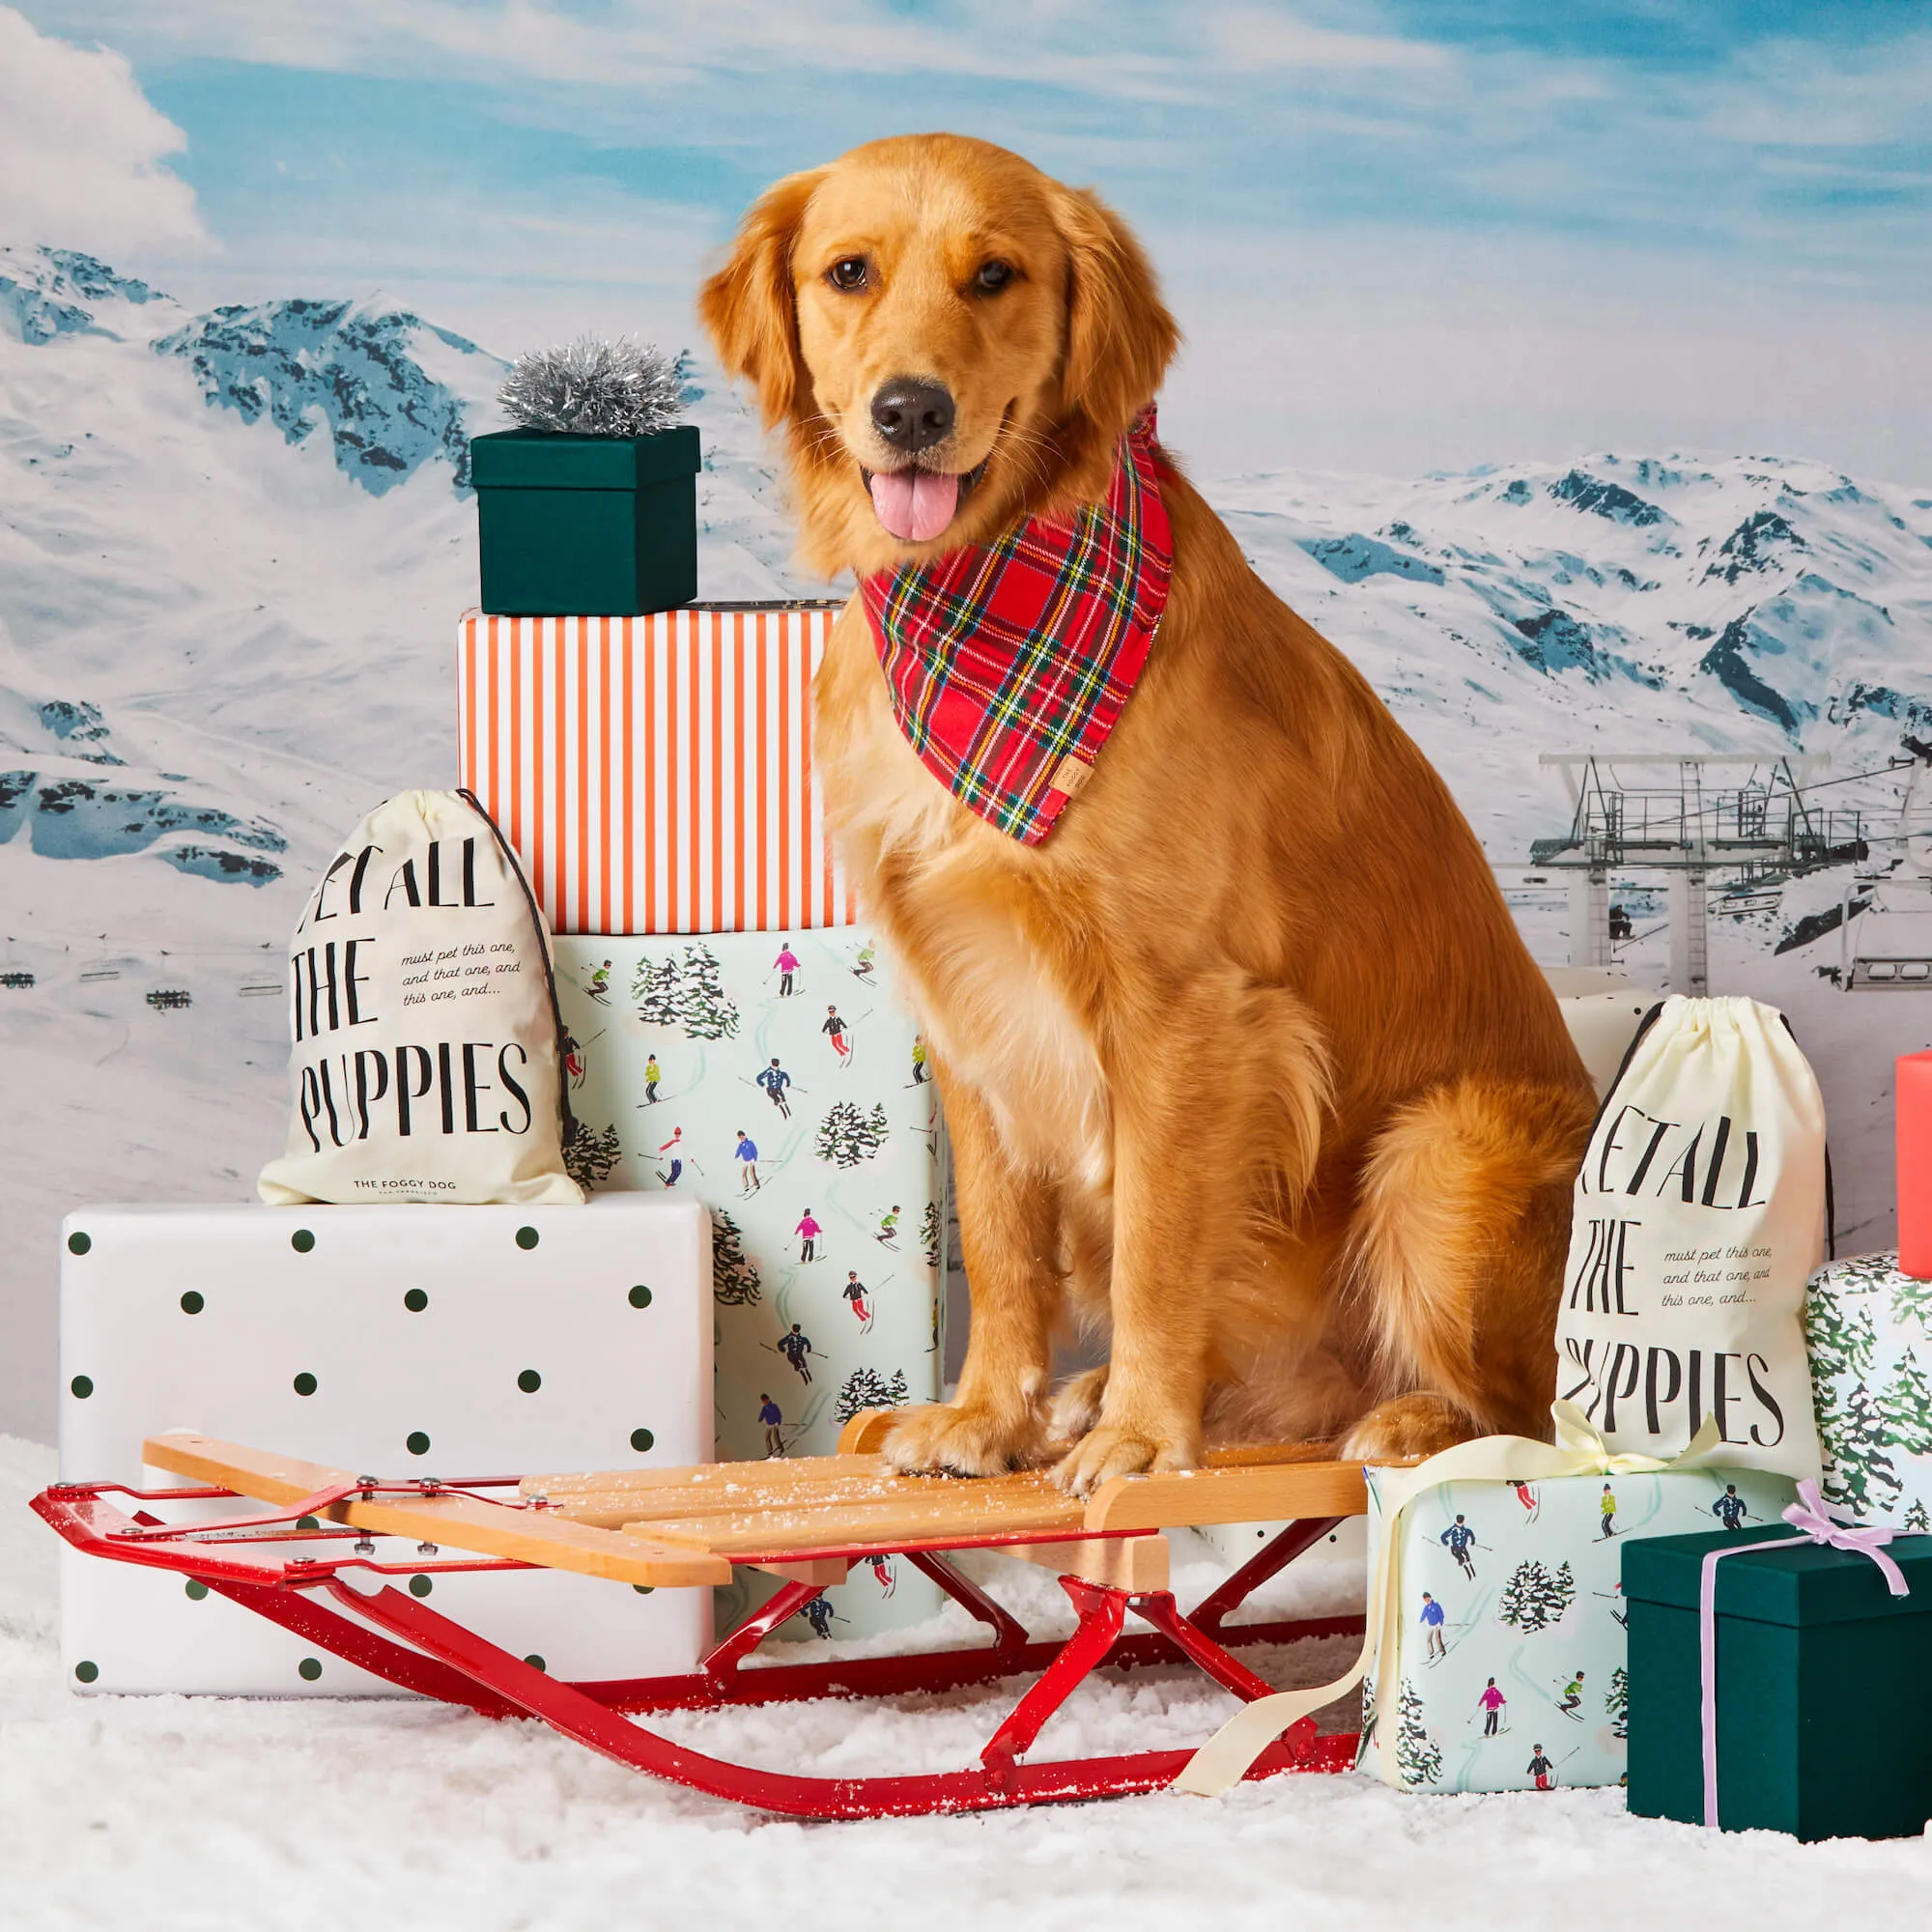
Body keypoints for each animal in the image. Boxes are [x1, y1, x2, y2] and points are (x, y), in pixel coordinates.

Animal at [703, 136, 1592, 1492]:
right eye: (848, 272)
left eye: (995, 275)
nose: (911, 411)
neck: (981, 605)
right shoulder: (965, 997)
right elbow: (1004, 1245)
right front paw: (989, 1414)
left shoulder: (1185, 1012)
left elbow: (1159, 1247)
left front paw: (1139, 1429)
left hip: (1441, 1145)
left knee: (1537, 1407)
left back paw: (1399, 1418)